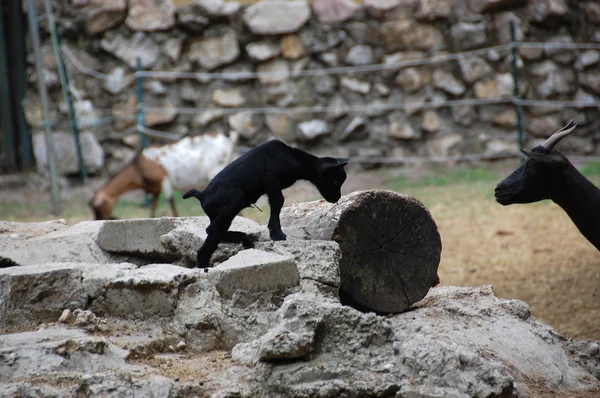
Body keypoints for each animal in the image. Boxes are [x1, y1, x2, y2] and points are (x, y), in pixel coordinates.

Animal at [89, 131, 239, 221]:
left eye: (98, 208)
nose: (99, 219)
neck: (139, 167)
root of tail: (228, 141)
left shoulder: (164, 180)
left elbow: (171, 202)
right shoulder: (155, 189)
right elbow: (153, 208)